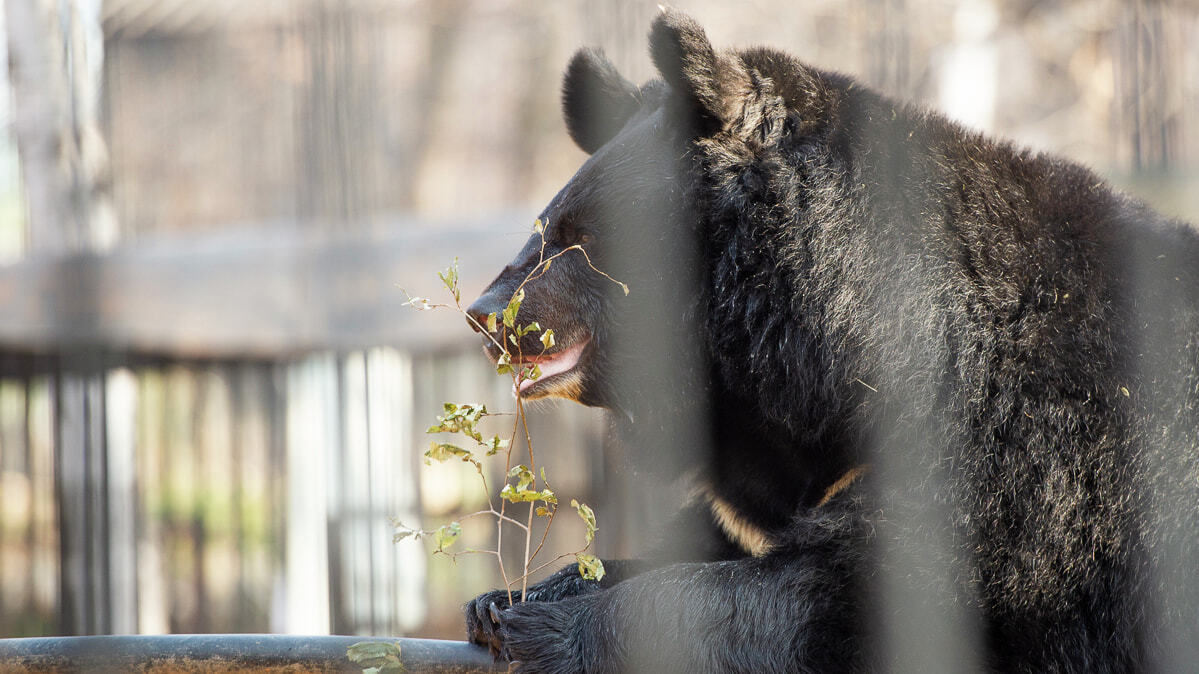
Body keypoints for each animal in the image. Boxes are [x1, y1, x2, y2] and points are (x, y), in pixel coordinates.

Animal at [460, 10, 1199, 671]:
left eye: (582, 236)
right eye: (547, 224)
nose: (485, 313)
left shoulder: (1023, 475)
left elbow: (838, 601)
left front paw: (545, 629)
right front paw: (507, 599)